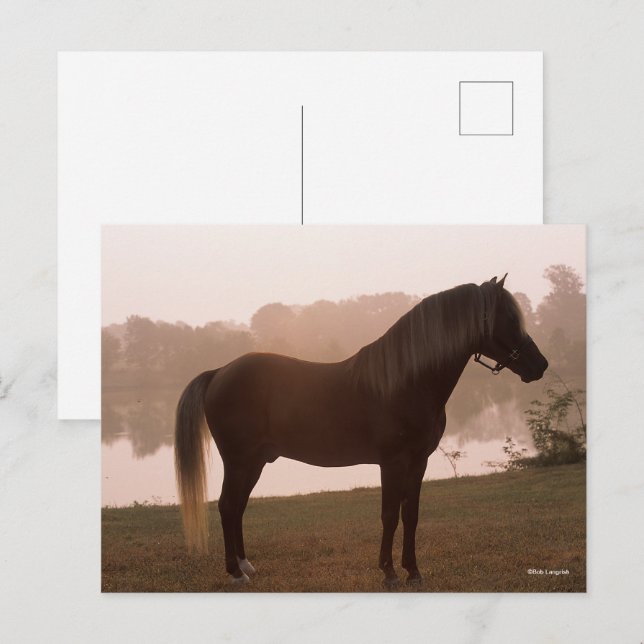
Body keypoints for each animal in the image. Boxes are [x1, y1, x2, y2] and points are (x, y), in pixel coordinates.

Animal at [174, 275, 548, 587]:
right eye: (509, 318)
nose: (540, 365)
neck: (406, 380)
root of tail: (219, 372)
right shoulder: (392, 462)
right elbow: (389, 516)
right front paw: (389, 573)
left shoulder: (418, 462)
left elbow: (410, 516)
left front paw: (413, 572)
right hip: (239, 461)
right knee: (227, 507)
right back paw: (236, 573)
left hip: (254, 463)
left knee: (237, 508)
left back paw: (246, 565)